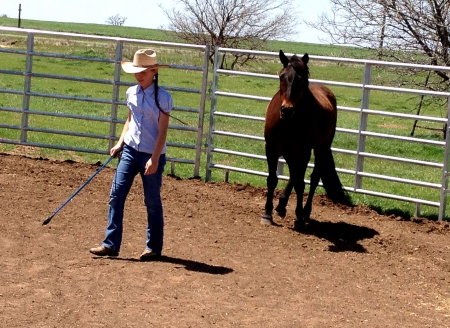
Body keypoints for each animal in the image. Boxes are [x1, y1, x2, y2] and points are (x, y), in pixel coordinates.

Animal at [260, 50, 352, 229]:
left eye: (301, 79)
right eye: (281, 76)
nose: (286, 110)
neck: (287, 122)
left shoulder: (303, 152)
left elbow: (301, 184)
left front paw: (299, 217)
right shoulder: (272, 149)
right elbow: (272, 179)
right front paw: (267, 213)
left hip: (321, 148)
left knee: (313, 178)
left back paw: (305, 212)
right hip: (290, 152)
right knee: (293, 175)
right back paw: (281, 206)